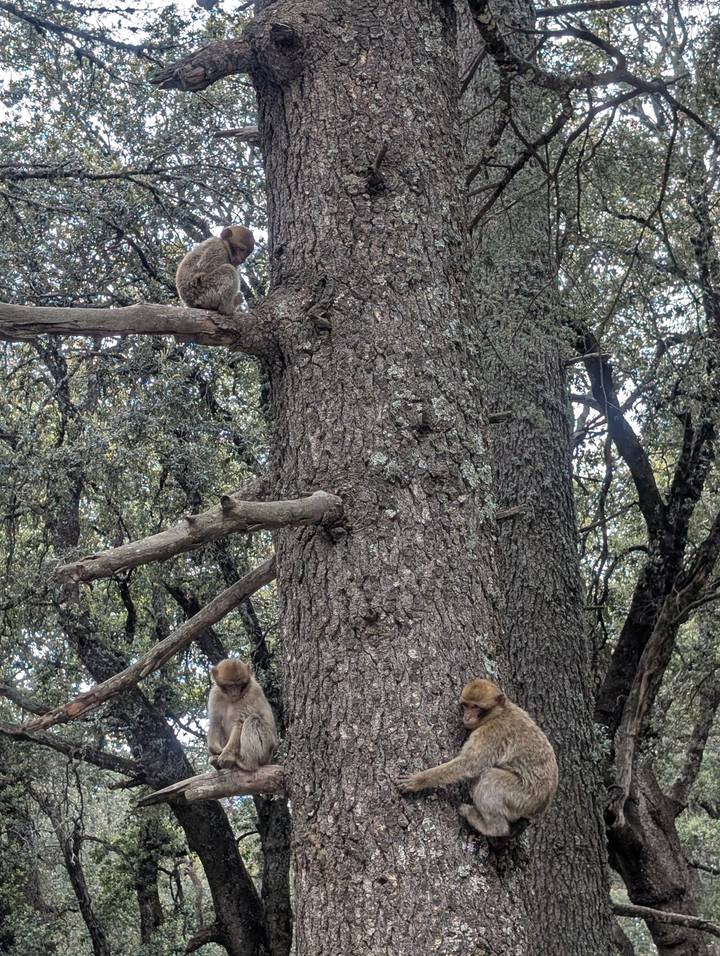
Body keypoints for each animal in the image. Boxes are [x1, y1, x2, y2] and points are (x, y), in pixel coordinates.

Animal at [396, 678, 558, 839]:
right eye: (466, 705)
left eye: (475, 707)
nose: (467, 716)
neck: (500, 712)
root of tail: (540, 810)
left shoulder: (491, 733)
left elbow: (469, 764)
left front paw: (420, 780)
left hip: (523, 797)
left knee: (490, 777)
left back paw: (492, 827)